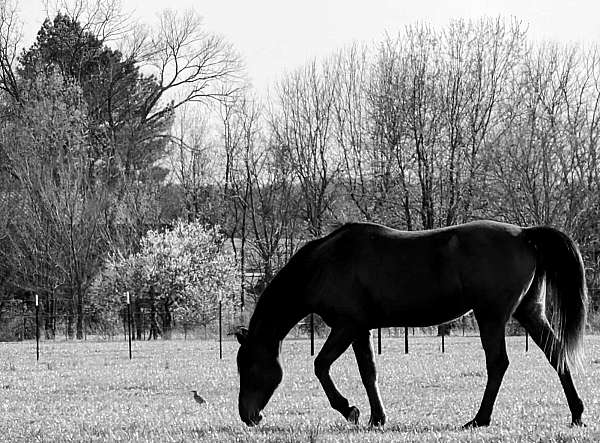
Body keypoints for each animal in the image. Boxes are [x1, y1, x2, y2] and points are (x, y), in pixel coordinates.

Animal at [234, 222, 584, 430]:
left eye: (248, 367)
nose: (248, 417)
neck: (324, 263)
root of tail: (524, 234)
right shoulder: (360, 331)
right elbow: (368, 373)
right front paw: (377, 418)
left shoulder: (346, 327)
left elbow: (321, 366)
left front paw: (349, 409)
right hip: (529, 313)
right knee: (556, 354)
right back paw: (577, 413)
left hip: (492, 317)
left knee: (498, 364)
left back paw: (480, 419)